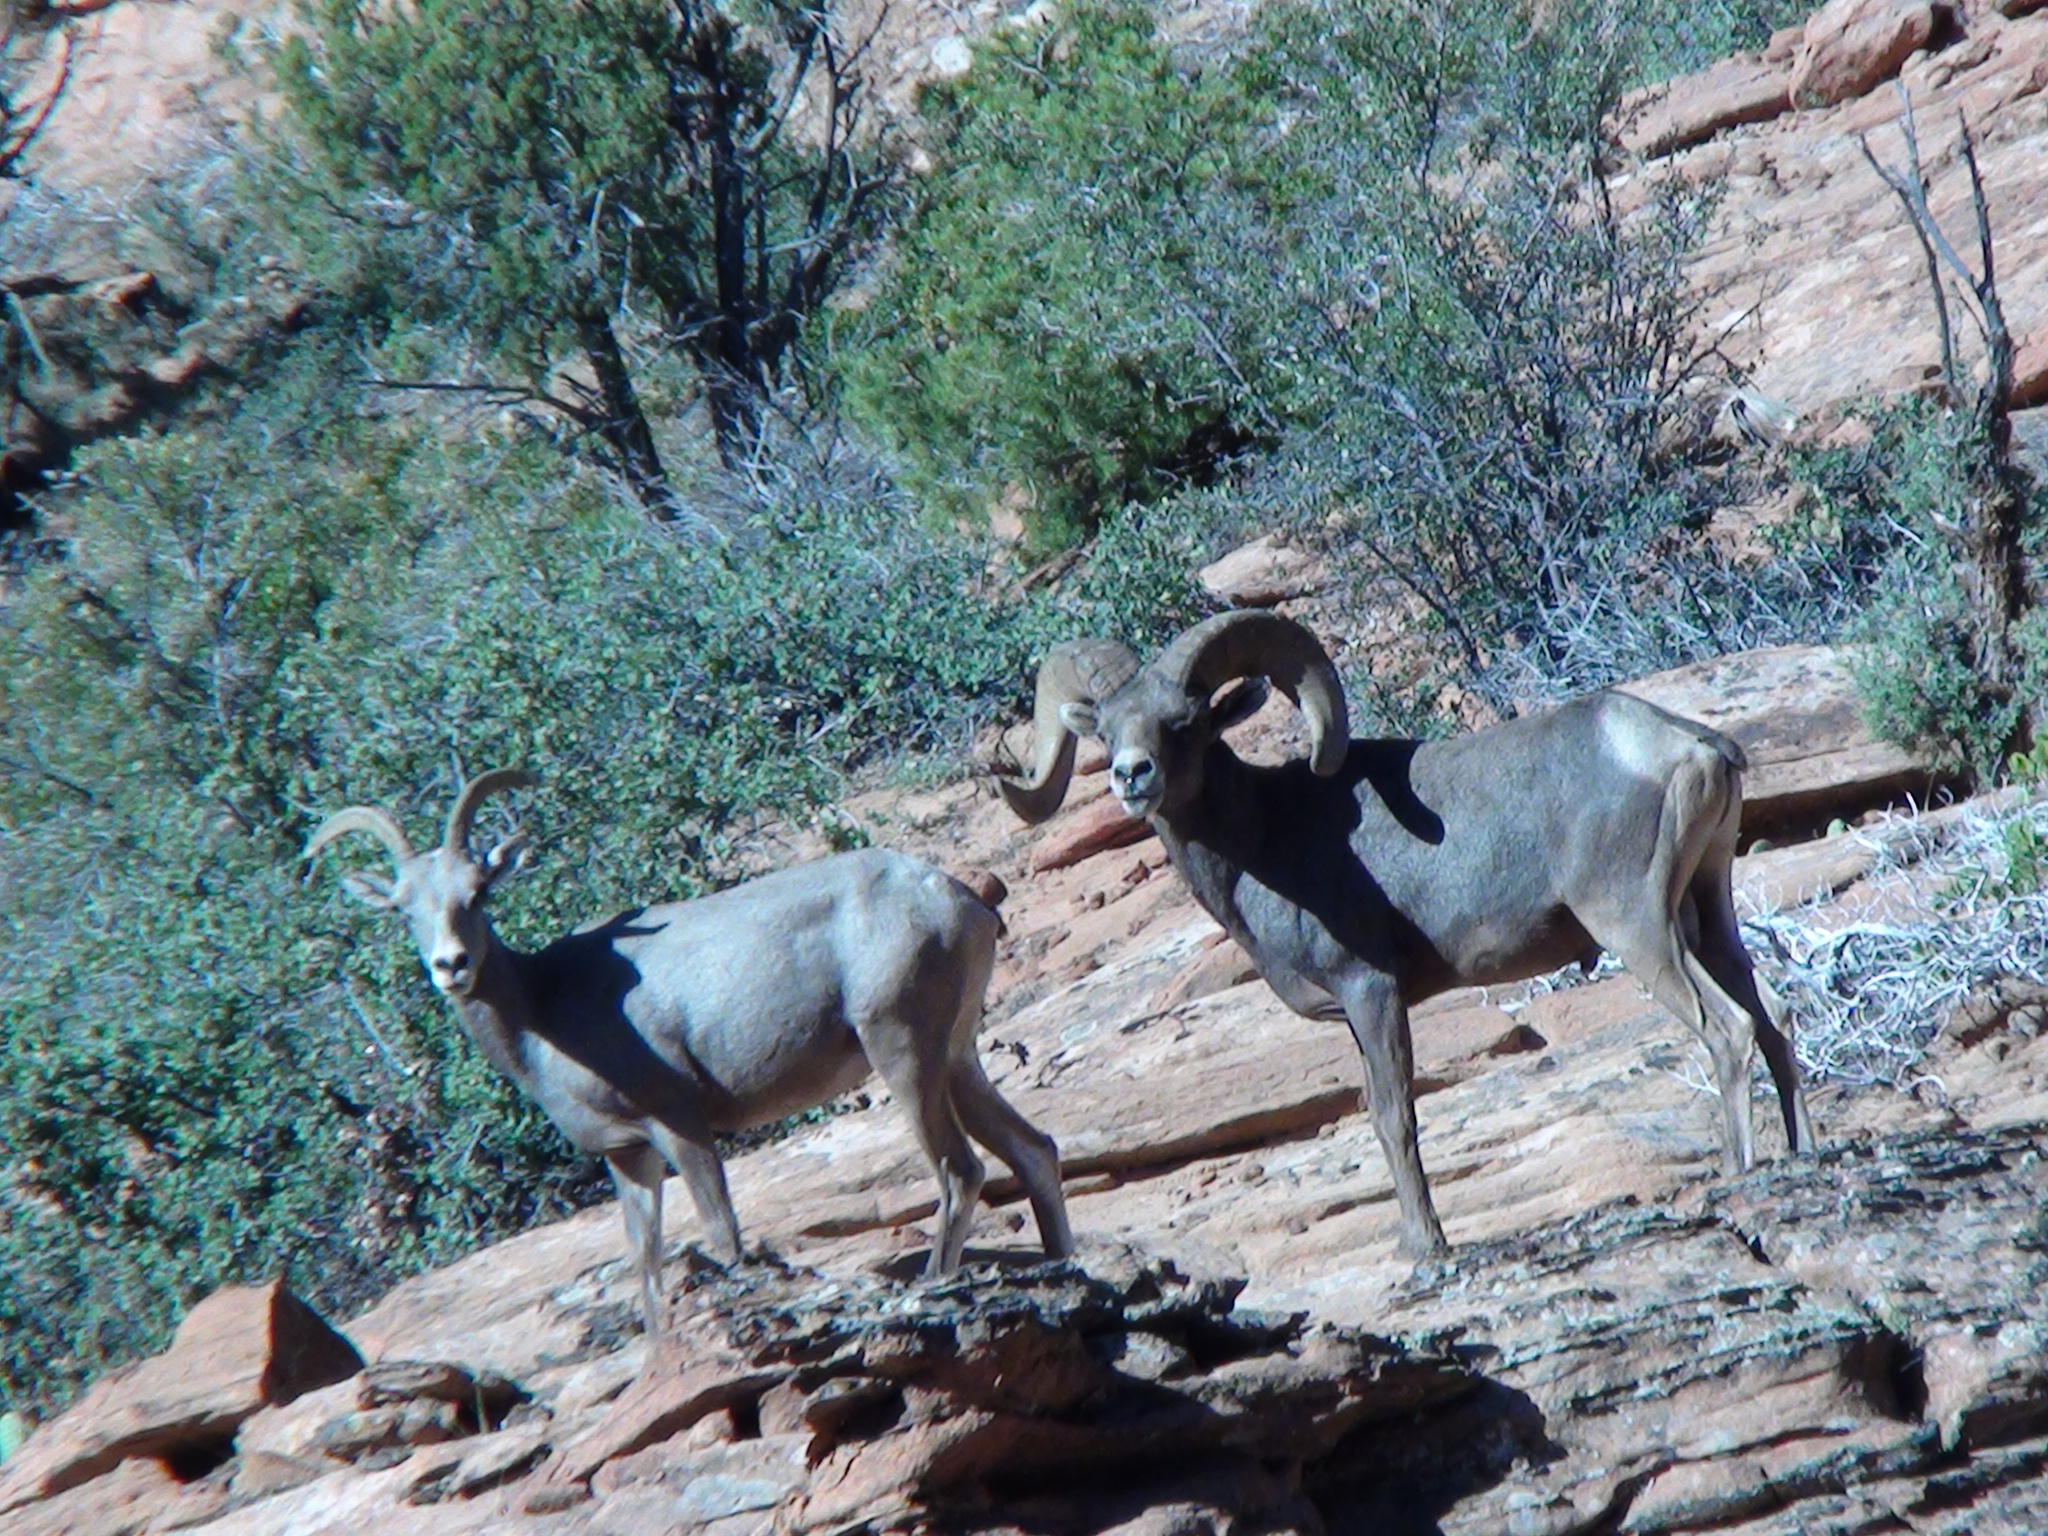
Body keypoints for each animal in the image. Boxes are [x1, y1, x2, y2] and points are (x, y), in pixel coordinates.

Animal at [307, 774, 1073, 1327]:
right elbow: (646, 1270)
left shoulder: (682, 1130)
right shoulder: (630, 1159)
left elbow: (723, 1239)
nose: (451, 965)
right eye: (403, 907)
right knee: (1033, 1151)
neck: (542, 1016)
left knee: (958, 1172)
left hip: (904, 1056)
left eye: (477, 892)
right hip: (956, 1059)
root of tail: (955, 898)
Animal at [999, 614, 1818, 1261]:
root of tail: (1696, 749)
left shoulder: (1373, 992)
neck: (1265, 842)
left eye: (1184, 722)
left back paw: (1736, 1171)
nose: (1132, 777)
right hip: (1707, 912)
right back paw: (1803, 1152)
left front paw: (1425, 1248)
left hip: (1636, 924)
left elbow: (1395, 1119)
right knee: (1774, 1017)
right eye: (1108, 731)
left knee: (1729, 1027)